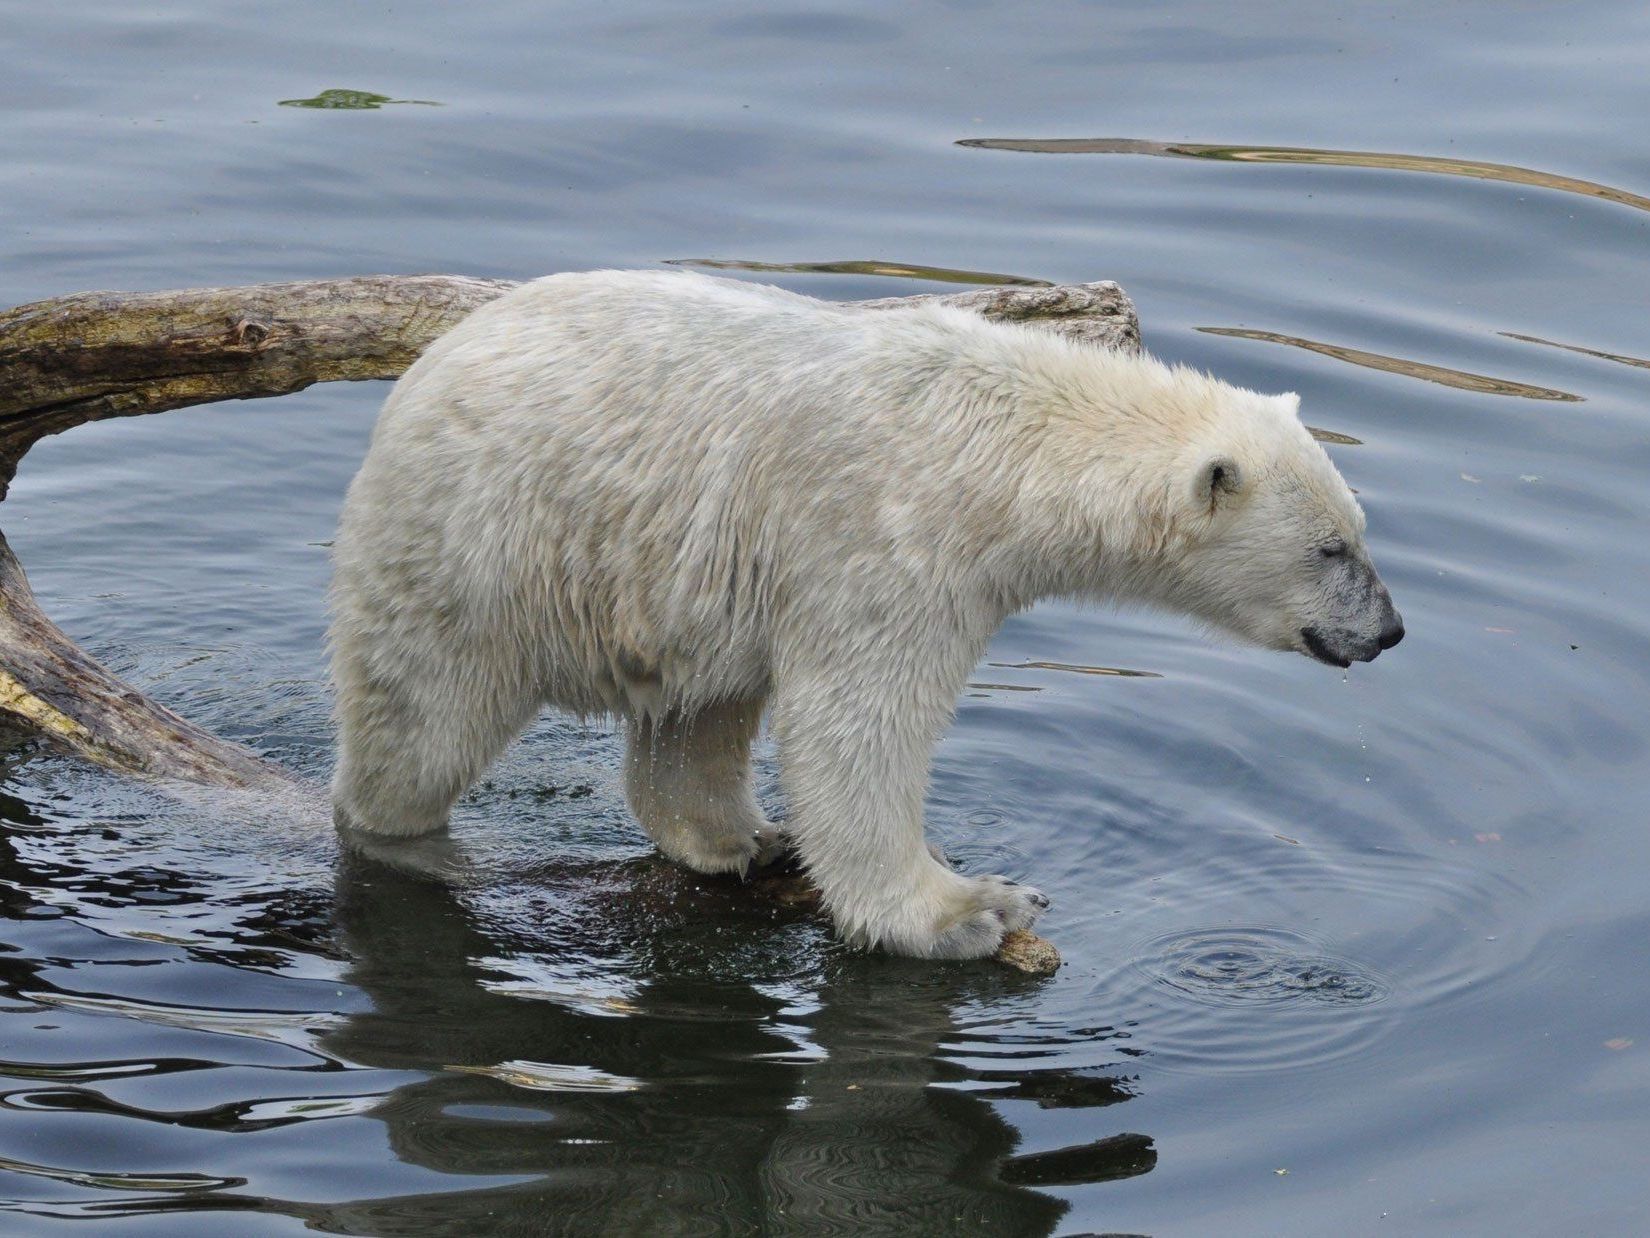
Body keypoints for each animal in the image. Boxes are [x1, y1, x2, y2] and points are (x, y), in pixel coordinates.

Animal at [331, 270, 1405, 963]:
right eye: (1329, 549)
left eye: (1359, 531)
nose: (1388, 631)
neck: (1006, 444)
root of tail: (419, 376)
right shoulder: (888, 536)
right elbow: (860, 721)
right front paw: (971, 909)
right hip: (476, 541)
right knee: (423, 715)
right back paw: (403, 832)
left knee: (700, 711)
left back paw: (738, 839)